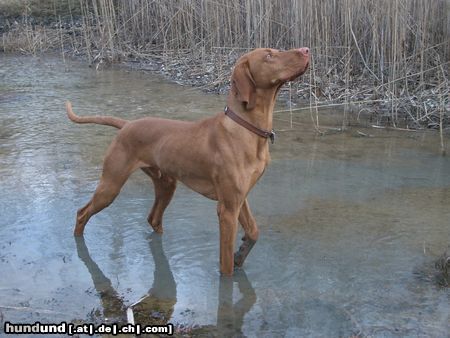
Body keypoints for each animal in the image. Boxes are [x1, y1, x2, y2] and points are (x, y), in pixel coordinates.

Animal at [67, 47, 310, 274]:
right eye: (269, 55)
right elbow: (226, 267)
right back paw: (78, 244)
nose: (306, 50)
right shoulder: (227, 209)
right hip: (111, 186)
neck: (245, 128)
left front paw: (241, 253)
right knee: (81, 213)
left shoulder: (240, 198)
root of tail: (127, 124)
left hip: (166, 184)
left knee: (154, 218)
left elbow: (254, 231)